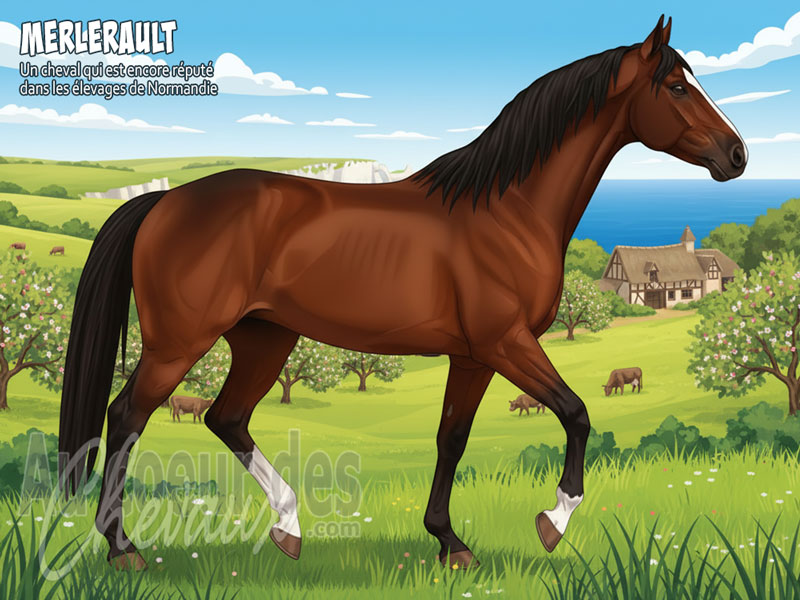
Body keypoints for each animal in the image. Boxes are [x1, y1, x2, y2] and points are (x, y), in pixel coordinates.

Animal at [58, 15, 746, 571]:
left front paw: (449, 542)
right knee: (127, 417)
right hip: (180, 342)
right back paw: (123, 548)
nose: (736, 155)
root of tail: (164, 201)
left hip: (265, 338)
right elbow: (576, 413)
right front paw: (552, 522)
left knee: (227, 417)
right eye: (677, 86)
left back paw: (289, 527)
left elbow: (451, 439)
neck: (505, 211)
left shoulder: (473, 356)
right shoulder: (506, 343)